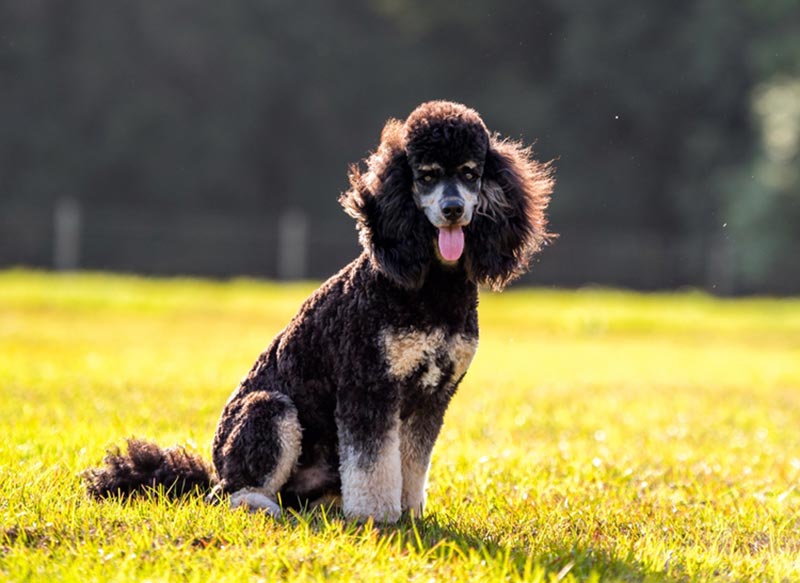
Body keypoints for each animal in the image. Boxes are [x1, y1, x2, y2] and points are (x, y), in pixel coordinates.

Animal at [84, 100, 552, 524]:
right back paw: (262, 506)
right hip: (270, 411)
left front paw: (410, 513)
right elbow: (372, 464)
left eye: (471, 173)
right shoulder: (368, 387)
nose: (453, 209)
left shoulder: (434, 396)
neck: (432, 287)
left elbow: (414, 463)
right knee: (232, 491)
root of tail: (213, 470)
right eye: (427, 176)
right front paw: (377, 518)